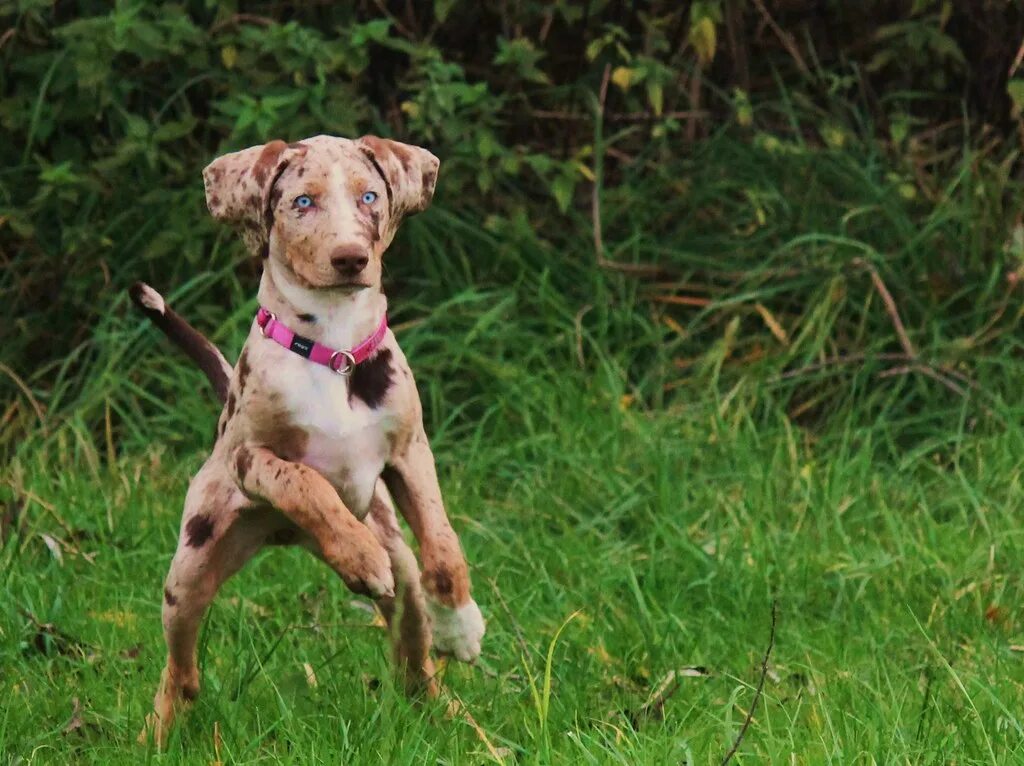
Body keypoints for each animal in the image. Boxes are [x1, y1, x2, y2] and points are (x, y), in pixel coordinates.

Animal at [131, 134, 487, 745]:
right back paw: (156, 733)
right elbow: (304, 483)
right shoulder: (251, 458)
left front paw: (460, 626)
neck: (334, 347)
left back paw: (456, 720)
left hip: (401, 574)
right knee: (181, 668)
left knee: (414, 664)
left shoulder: (410, 452)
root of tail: (283, 539)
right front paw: (357, 554)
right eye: (302, 202)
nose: (350, 258)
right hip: (191, 568)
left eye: (369, 196)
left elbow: (443, 545)